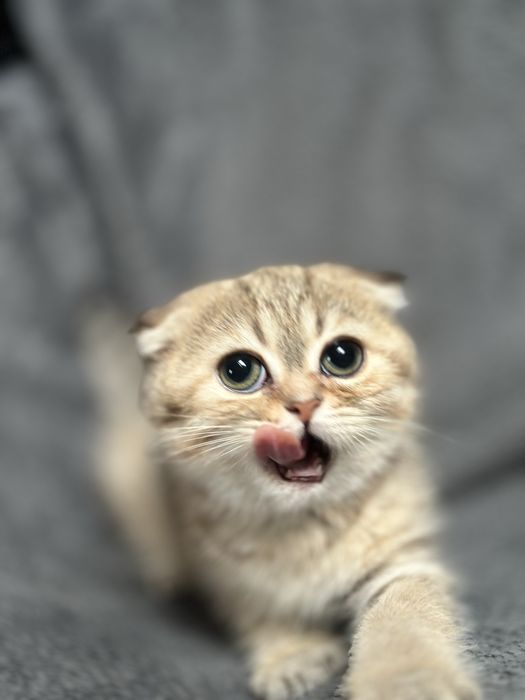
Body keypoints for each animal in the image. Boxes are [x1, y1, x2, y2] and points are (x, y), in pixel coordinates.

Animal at [86, 264, 480, 700]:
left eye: (343, 357)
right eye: (239, 370)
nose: (304, 404)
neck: (303, 524)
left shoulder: (402, 563)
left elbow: (402, 621)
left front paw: (407, 680)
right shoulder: (230, 582)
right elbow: (264, 615)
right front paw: (292, 653)